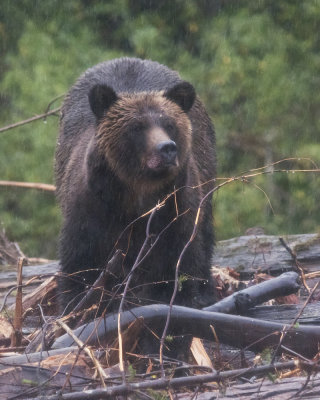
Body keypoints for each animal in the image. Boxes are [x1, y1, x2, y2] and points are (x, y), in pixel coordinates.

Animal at [55, 57, 216, 318]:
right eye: (137, 126)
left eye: (169, 124)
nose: (167, 148)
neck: (136, 191)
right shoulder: (92, 207)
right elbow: (80, 259)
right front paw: (75, 305)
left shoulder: (174, 208)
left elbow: (178, 257)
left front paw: (179, 297)